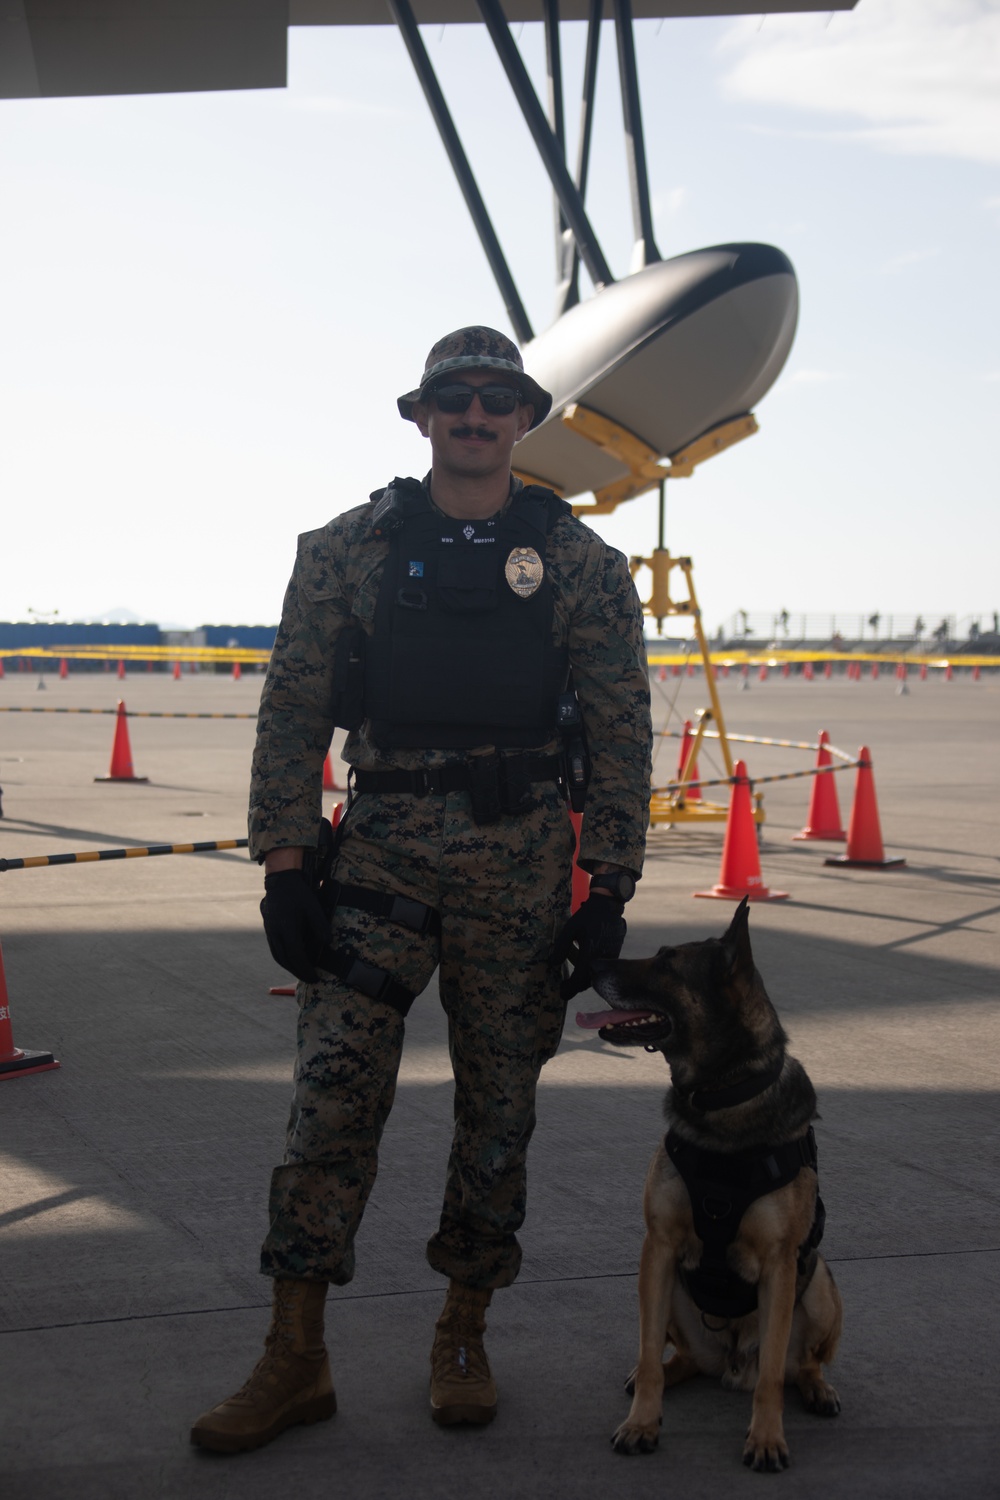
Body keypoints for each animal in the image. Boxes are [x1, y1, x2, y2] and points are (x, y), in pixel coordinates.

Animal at [581, 894, 839, 1470]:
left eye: (667, 963)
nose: (590, 959)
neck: (722, 1097)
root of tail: (731, 1364)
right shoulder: (657, 1249)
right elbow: (648, 1356)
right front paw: (642, 1424)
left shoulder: (780, 1265)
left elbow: (772, 1379)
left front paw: (766, 1439)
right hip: (670, 1293)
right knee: (676, 1357)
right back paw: (659, 1376)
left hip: (819, 1288)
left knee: (798, 1364)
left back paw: (817, 1389)